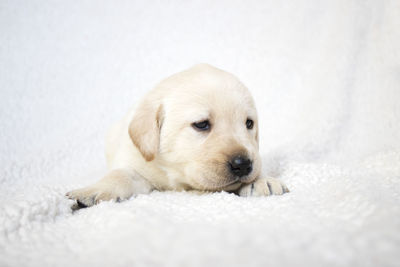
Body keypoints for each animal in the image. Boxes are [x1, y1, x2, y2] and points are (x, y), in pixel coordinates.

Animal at [67, 63, 290, 208]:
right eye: (201, 124)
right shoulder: (136, 163)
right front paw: (94, 190)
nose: (243, 164)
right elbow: (120, 174)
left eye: (249, 123)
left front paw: (260, 180)